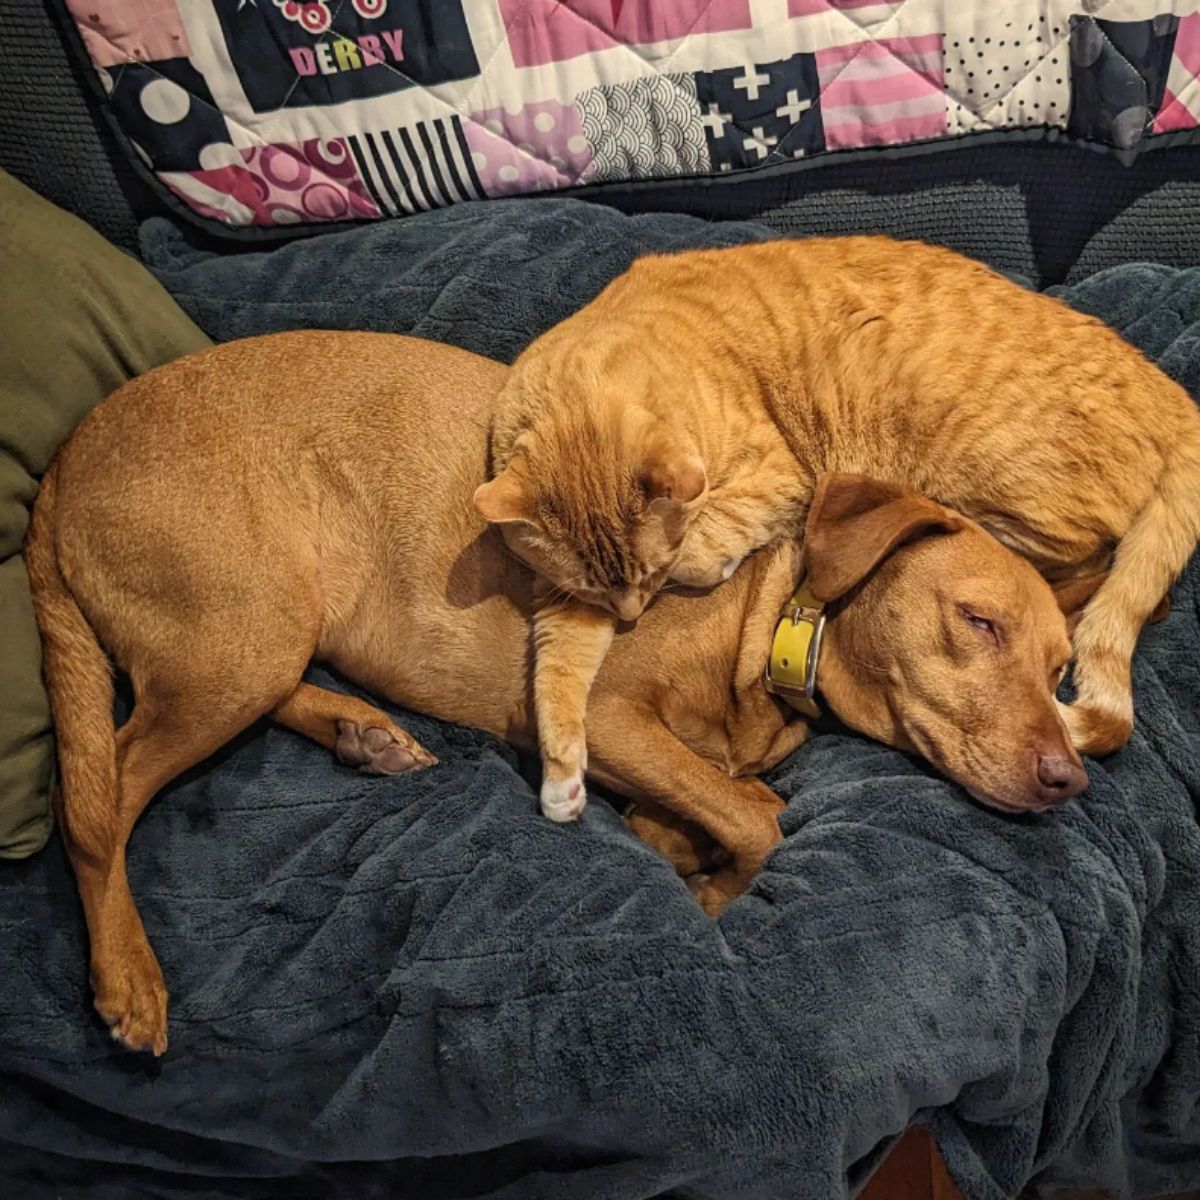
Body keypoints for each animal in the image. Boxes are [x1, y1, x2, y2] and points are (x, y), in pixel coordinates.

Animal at [25, 328, 1080, 1051]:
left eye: (1063, 672)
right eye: (977, 622)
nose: (1070, 778)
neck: (776, 614)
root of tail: (62, 462)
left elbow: (733, 801)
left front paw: (676, 838)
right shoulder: (604, 717)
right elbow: (755, 820)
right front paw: (709, 891)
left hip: (267, 635)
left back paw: (362, 731)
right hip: (239, 637)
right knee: (97, 798)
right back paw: (126, 975)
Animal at [475, 234, 1200, 816]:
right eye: (979, 625)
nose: (630, 611)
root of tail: (1177, 396)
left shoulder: (779, 475)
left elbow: (706, 543)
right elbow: (562, 654)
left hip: (991, 489)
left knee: (1092, 565)